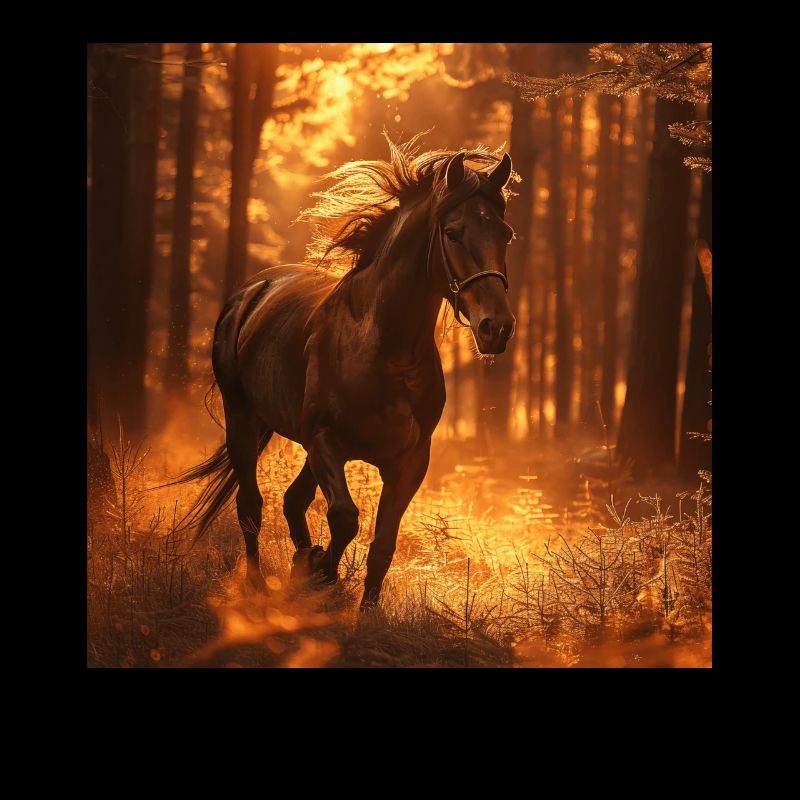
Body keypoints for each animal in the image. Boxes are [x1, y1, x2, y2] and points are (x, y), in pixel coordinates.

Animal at [175, 134, 516, 610]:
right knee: (251, 506)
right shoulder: (325, 442)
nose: (496, 327)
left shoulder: (410, 460)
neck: (385, 350)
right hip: (243, 418)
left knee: (292, 500)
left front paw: (356, 605)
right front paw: (320, 570)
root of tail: (251, 292)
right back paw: (259, 586)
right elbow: (345, 518)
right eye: (452, 232)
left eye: (505, 234)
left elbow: (382, 545)